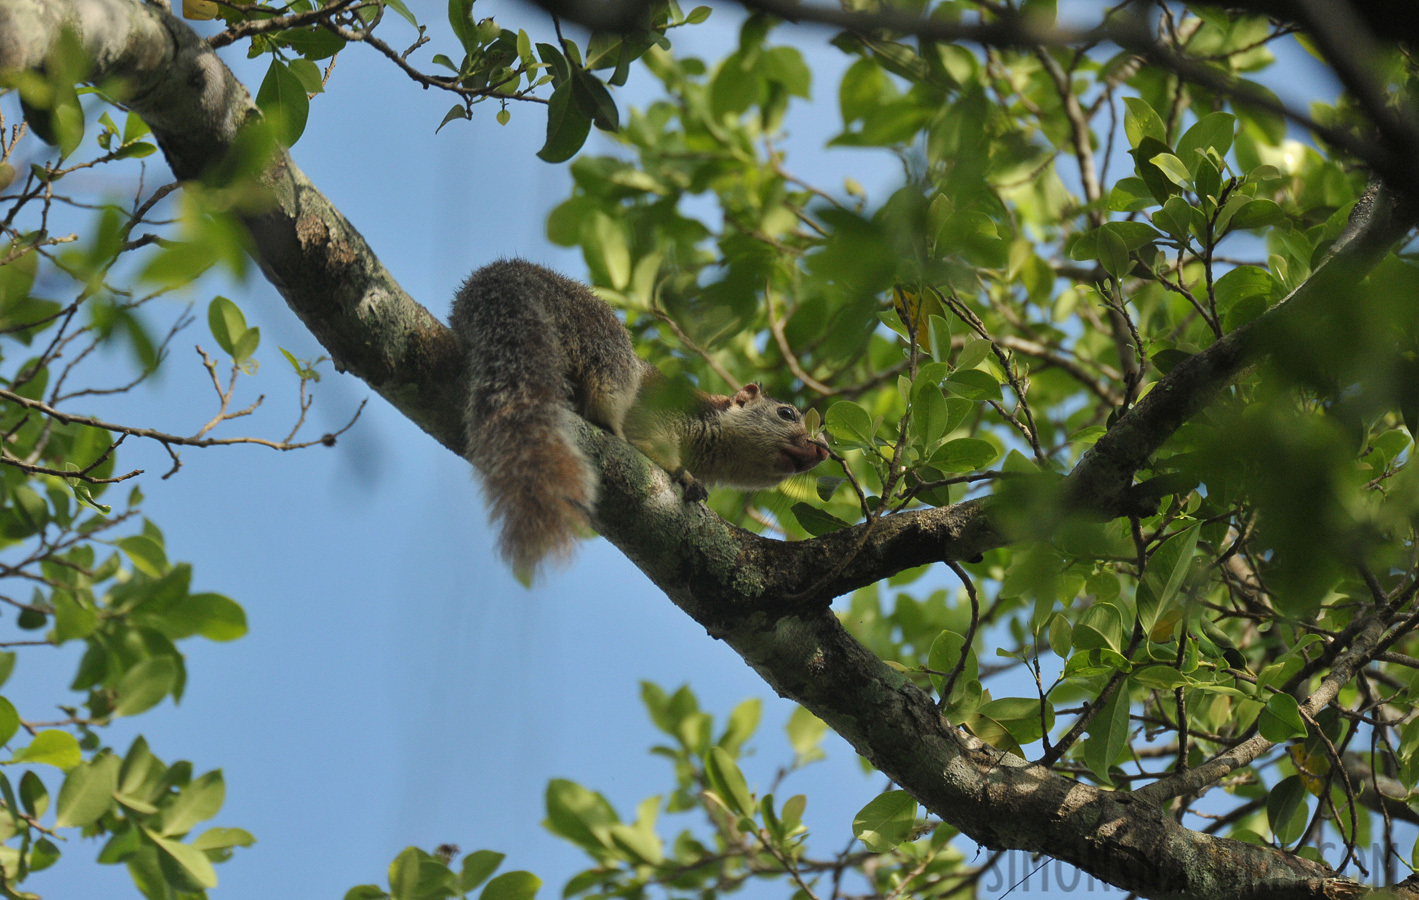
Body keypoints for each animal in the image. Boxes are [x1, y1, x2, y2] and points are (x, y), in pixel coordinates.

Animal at [451, 255, 828, 579]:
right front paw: (684, 475)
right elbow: (652, 440)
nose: (823, 451)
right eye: (786, 413)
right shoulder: (658, 409)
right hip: (604, 343)